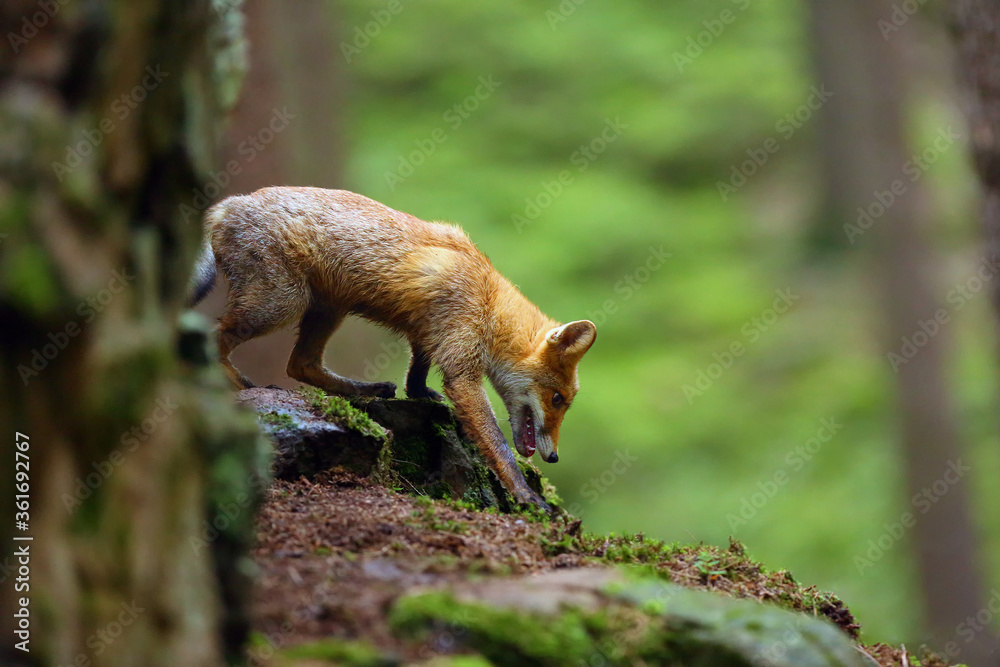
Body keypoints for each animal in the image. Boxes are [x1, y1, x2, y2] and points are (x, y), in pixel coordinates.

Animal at [188, 187, 592, 506]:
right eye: (558, 399)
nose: (554, 458)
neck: (488, 298)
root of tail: (230, 203)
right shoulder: (462, 365)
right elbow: (498, 445)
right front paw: (523, 492)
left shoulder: (430, 333)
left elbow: (417, 371)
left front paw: (419, 393)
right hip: (279, 305)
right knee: (212, 339)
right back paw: (238, 385)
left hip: (326, 308)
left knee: (301, 364)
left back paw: (365, 389)